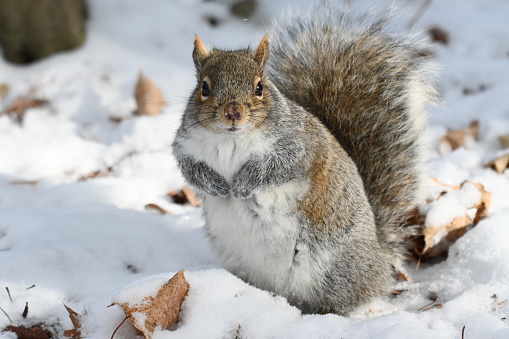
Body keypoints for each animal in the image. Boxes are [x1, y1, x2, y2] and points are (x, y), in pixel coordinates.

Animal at [172, 5, 436, 316]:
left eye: (259, 87)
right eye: (204, 88)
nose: (233, 113)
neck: (230, 140)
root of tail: (380, 261)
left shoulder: (299, 148)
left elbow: (277, 168)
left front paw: (242, 184)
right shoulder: (186, 146)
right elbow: (190, 169)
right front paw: (214, 184)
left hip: (333, 269)